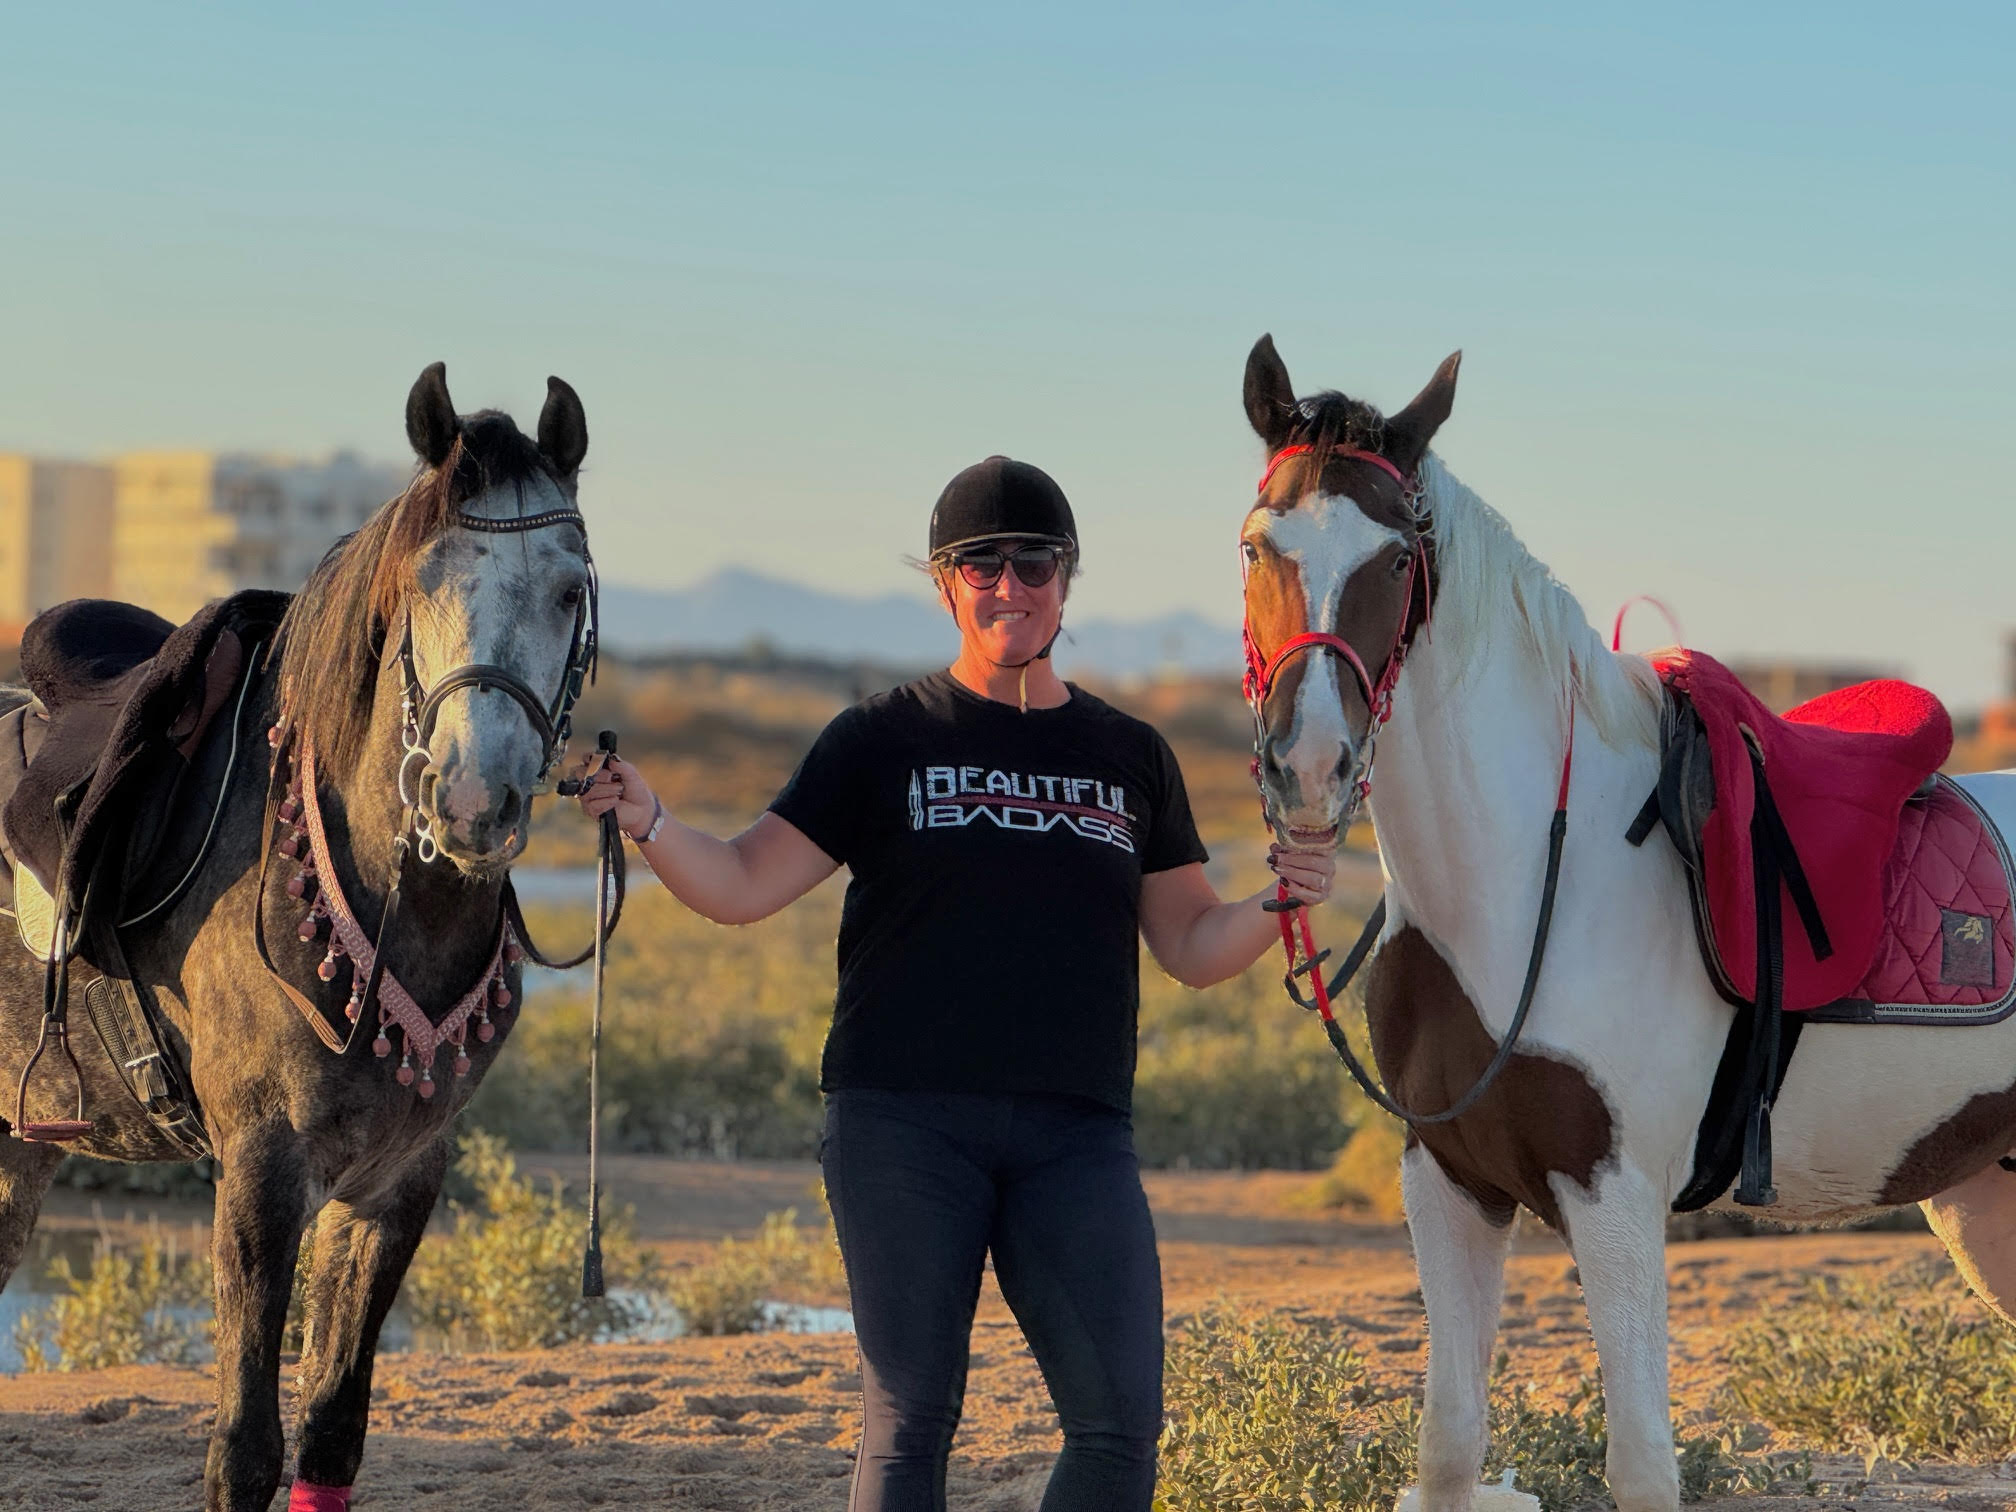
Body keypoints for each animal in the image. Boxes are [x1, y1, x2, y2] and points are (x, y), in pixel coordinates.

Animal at [0, 362, 598, 1512]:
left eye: (568, 590)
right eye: (421, 582)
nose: (474, 803)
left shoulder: (397, 1183)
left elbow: (330, 1433)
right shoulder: (262, 1172)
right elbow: (245, 1449)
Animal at [1235, 333, 2016, 1512]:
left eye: (1397, 562)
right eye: (1255, 545)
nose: (1312, 767)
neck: (1524, 880)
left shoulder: (1614, 1195)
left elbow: (1642, 1460)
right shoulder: (1447, 1182)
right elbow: (1450, 1441)